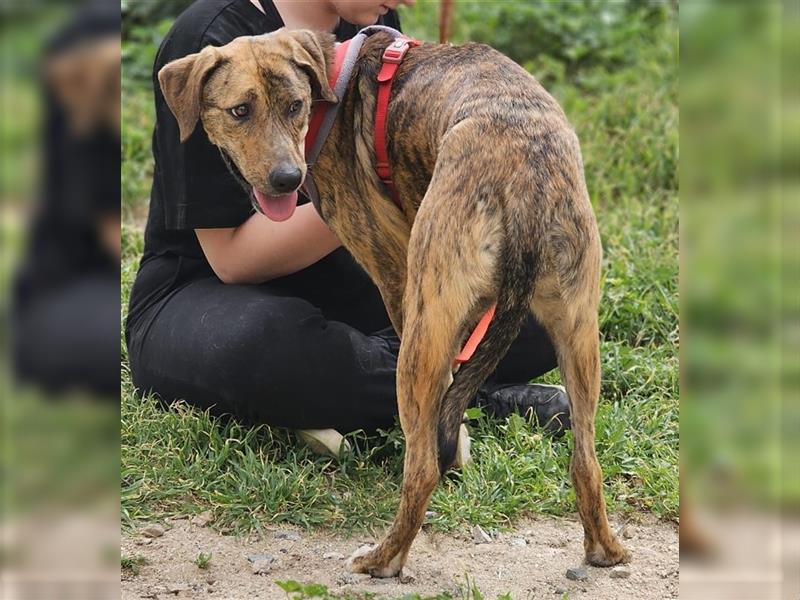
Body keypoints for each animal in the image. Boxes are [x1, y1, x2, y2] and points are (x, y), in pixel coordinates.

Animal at [158, 27, 632, 576]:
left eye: (295, 106)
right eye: (240, 111)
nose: (287, 180)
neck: (333, 86)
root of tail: (523, 182)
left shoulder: (394, 274)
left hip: (423, 331)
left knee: (422, 464)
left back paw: (384, 557)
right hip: (578, 328)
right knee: (586, 461)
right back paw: (605, 549)